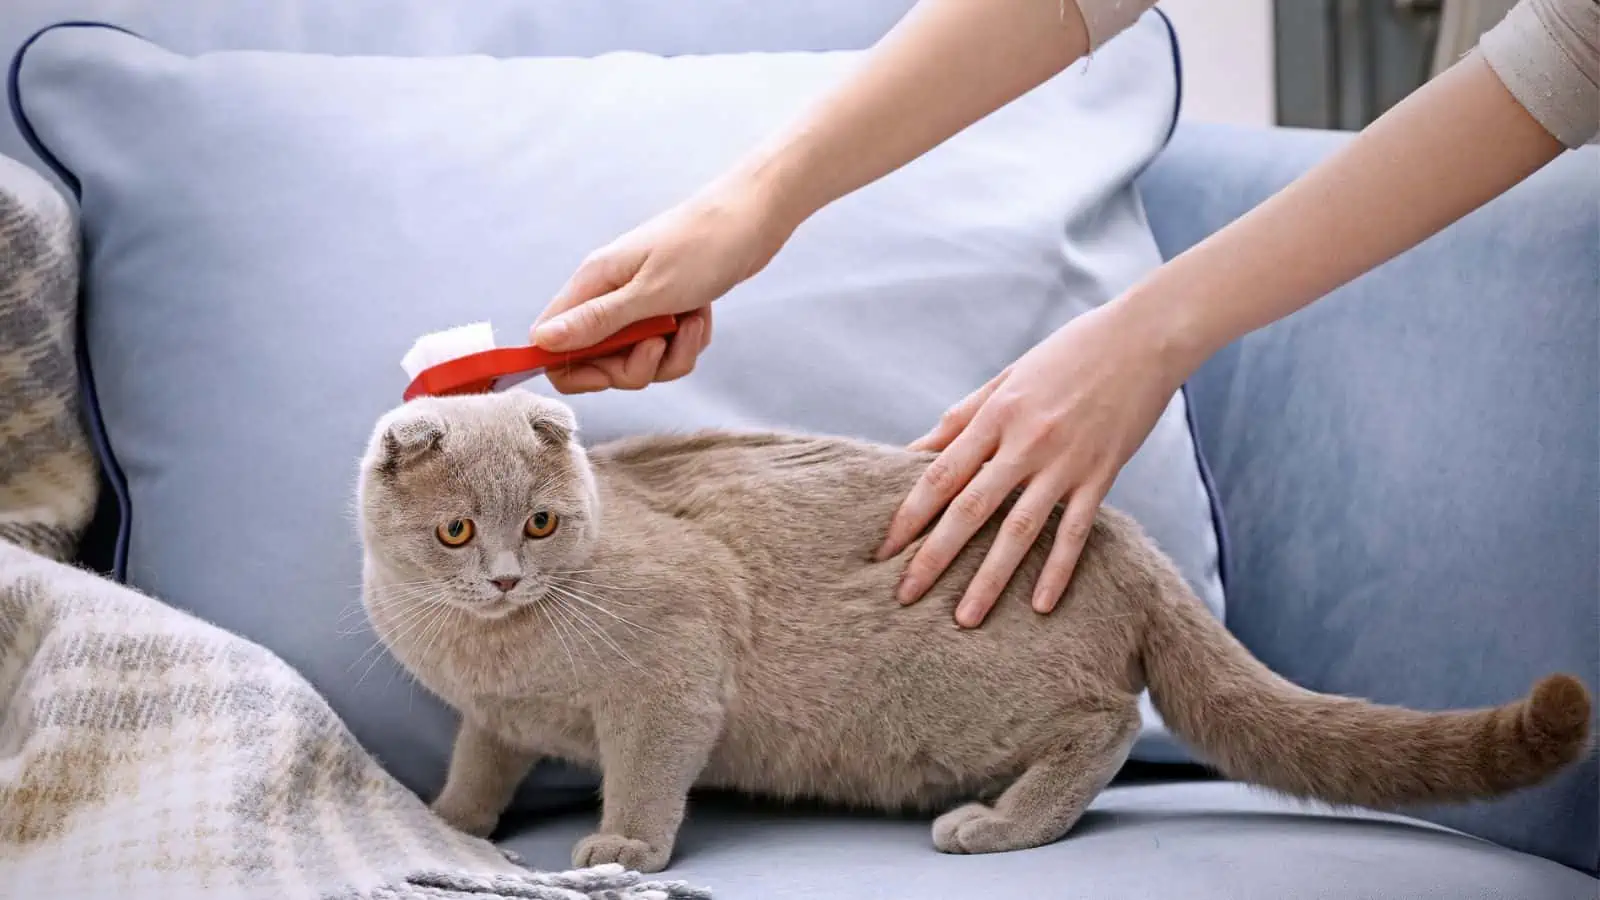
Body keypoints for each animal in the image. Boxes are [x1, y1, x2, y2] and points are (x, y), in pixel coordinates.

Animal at [356, 390, 1593, 871]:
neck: (496, 652)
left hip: (953, 694)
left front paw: (621, 848)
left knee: (1105, 720)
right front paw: (449, 821)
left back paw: (993, 826)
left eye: (541, 521)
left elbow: (649, 768)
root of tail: (1116, 533)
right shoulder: (496, 719)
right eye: (458, 530)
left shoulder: (674, 667)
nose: (505, 578)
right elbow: (481, 762)